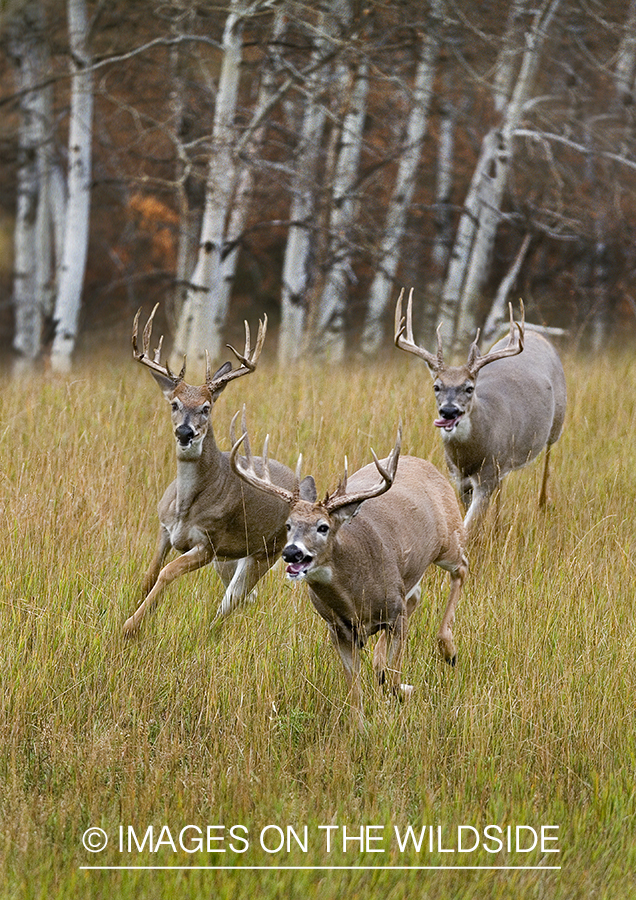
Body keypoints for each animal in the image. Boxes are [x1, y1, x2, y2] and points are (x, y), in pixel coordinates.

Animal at [122, 306, 296, 636]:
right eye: (174, 404)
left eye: (206, 407)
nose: (185, 432)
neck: (185, 506)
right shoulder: (165, 530)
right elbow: (149, 575)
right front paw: (126, 614)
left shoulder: (209, 542)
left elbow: (166, 572)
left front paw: (130, 627)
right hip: (230, 558)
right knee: (245, 596)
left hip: (264, 552)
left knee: (234, 600)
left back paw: (208, 634)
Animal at [229, 420, 468, 724]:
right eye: (288, 525)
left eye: (323, 526)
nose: (292, 552)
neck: (356, 598)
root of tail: (425, 464)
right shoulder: (338, 629)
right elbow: (353, 687)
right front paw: (359, 725)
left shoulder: (396, 614)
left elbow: (395, 676)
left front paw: (404, 691)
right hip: (408, 577)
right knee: (415, 596)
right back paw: (380, 666)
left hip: (448, 539)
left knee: (461, 568)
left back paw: (448, 650)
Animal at [392, 290, 568, 536]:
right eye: (436, 386)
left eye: (469, 388)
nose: (448, 411)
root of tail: (536, 335)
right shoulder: (459, 478)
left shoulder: (487, 476)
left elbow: (469, 528)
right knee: (504, 485)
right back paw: (498, 525)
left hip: (557, 422)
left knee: (549, 458)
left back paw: (543, 503)